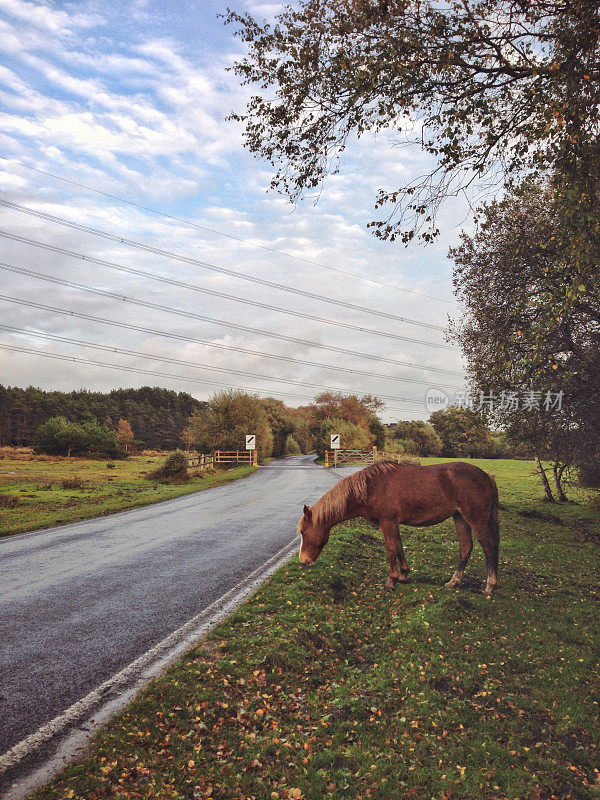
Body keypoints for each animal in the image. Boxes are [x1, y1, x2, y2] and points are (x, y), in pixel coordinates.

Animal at [298, 462, 500, 592]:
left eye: (303, 532)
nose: (304, 560)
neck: (372, 488)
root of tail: (487, 477)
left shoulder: (387, 522)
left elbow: (390, 549)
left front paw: (391, 581)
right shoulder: (393, 523)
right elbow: (399, 547)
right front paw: (403, 575)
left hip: (476, 520)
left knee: (488, 547)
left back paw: (489, 586)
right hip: (460, 518)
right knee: (466, 547)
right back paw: (454, 582)